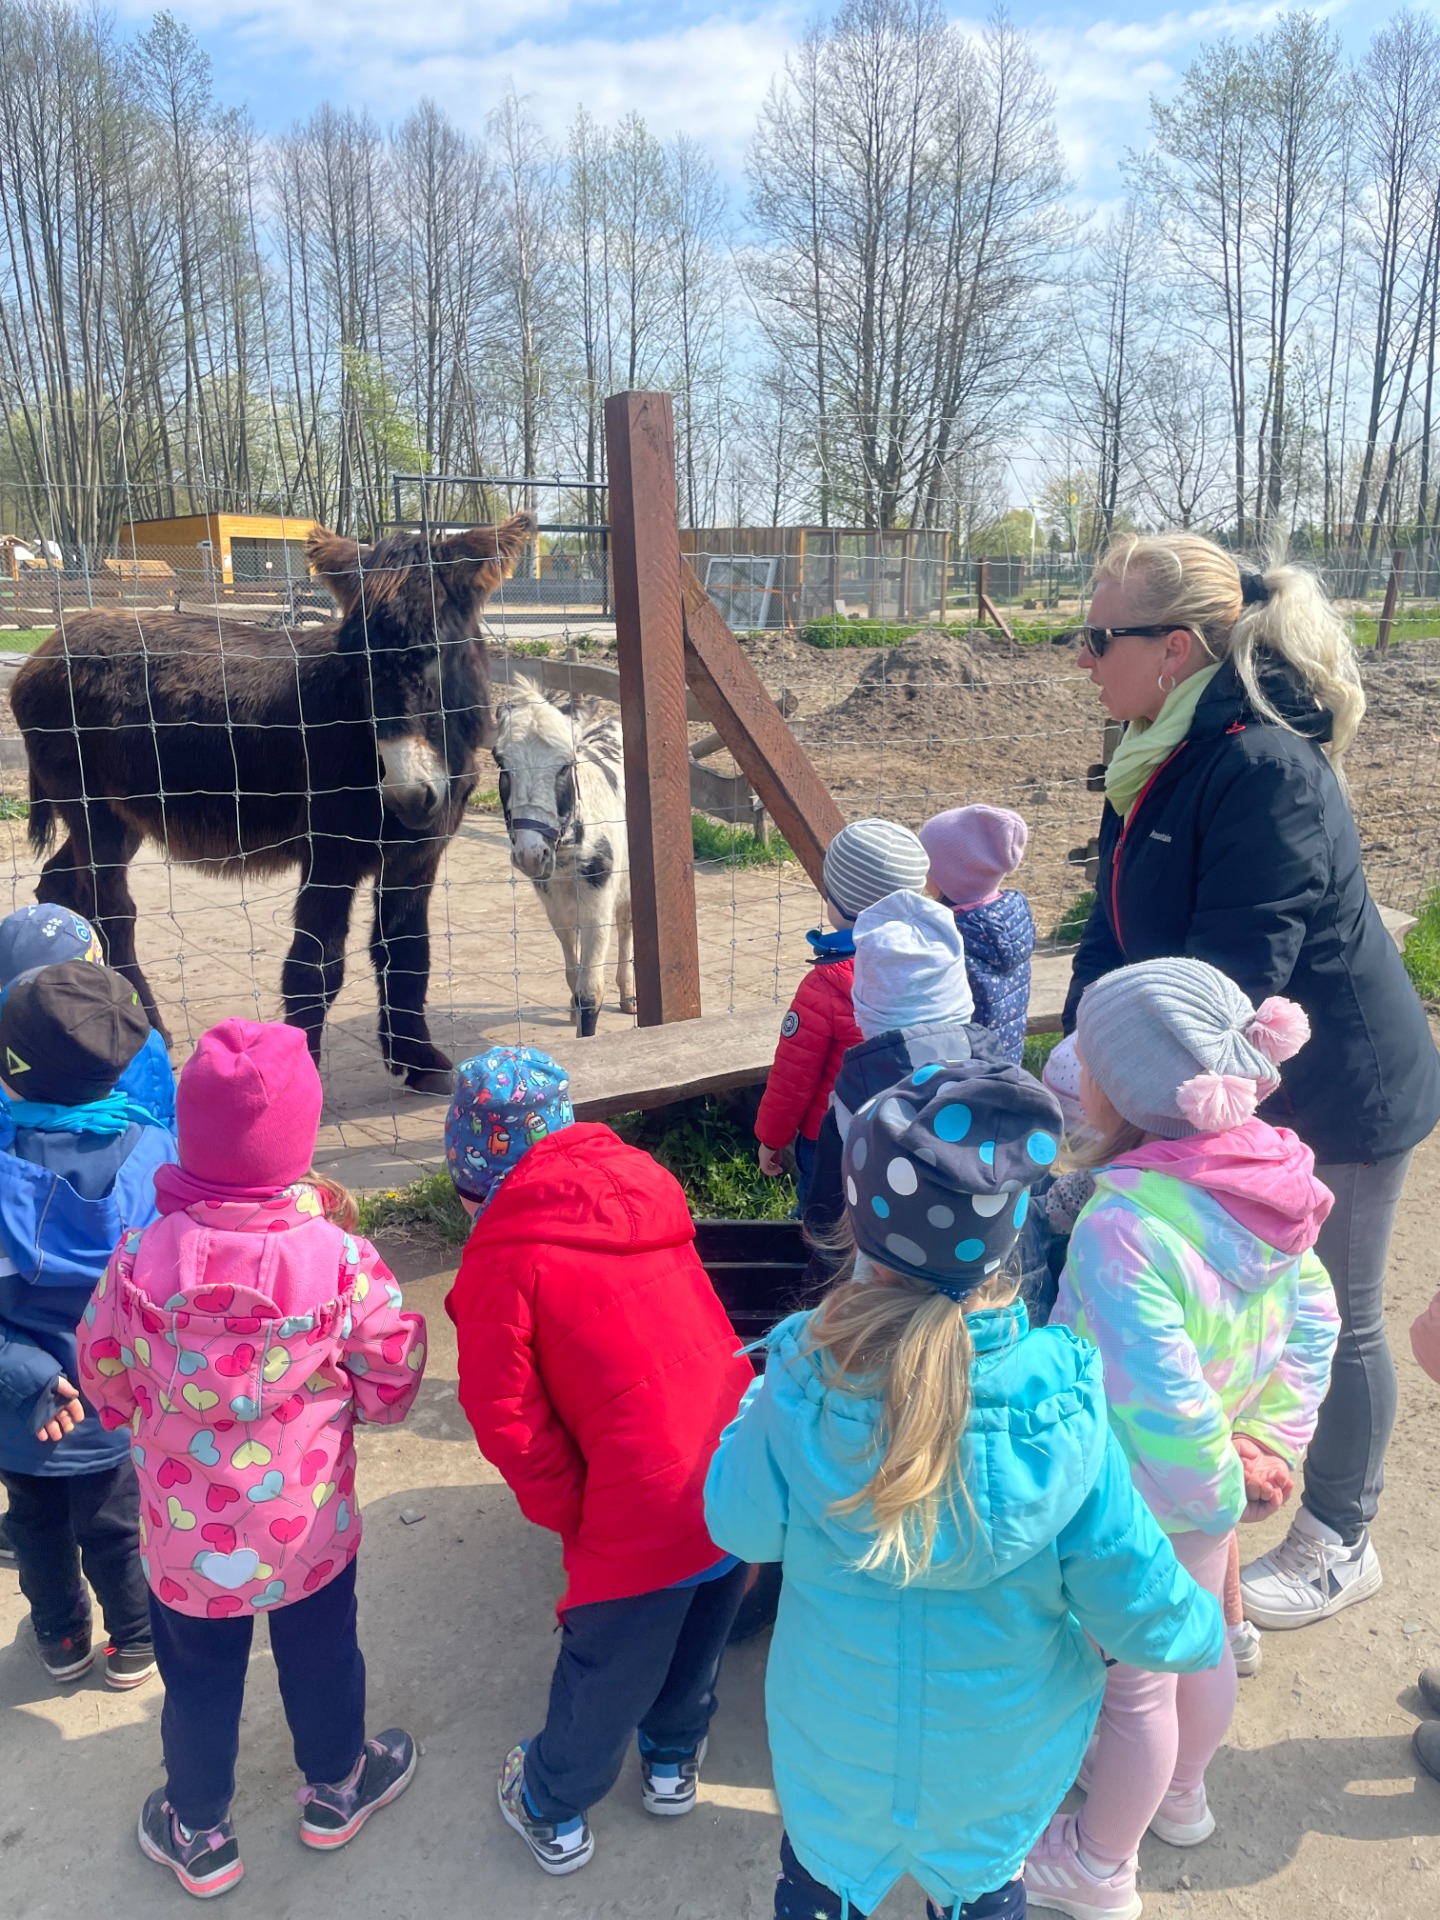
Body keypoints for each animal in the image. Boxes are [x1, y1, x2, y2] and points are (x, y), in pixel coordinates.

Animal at [10, 513, 537, 1092]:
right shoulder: (331, 853)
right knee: (113, 912)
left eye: (438, 651)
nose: (406, 793)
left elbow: (406, 951)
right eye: (356, 663)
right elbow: (317, 962)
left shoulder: (417, 855)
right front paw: (298, 1070)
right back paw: (141, 1027)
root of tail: (48, 646)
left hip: (120, 818)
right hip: (92, 812)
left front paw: (419, 1061)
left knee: (60, 885)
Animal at [492, 679, 634, 1036]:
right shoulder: (555, 908)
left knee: (627, 925)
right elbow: (573, 972)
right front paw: (573, 1009)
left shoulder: (599, 907)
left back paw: (629, 996)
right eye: (501, 764)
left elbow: (590, 991)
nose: (530, 855)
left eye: (566, 765)